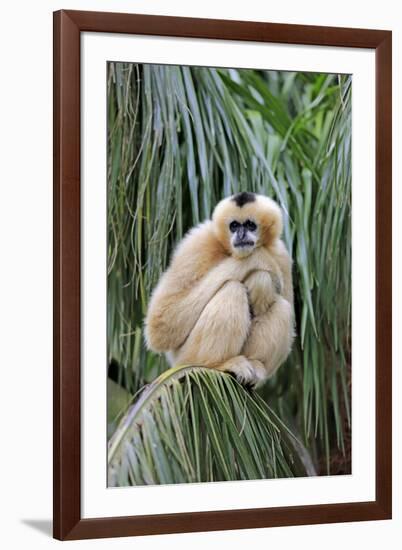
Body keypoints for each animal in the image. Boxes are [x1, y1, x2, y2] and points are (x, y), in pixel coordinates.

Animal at [144, 192, 292, 390]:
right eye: (234, 225)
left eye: (250, 225)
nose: (241, 234)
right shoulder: (198, 243)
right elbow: (161, 325)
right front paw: (260, 260)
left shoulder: (281, 254)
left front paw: (261, 281)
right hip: (188, 356)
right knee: (232, 289)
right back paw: (220, 364)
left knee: (283, 306)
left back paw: (256, 365)